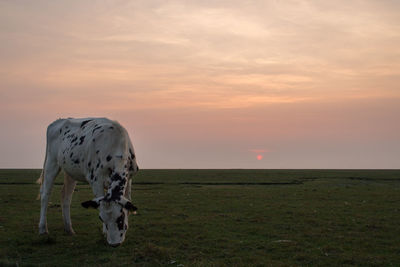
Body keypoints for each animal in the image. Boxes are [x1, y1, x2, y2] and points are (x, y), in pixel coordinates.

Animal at [36, 118, 139, 248]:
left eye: (120, 218)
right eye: (101, 219)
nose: (114, 244)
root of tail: (58, 121)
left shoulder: (129, 178)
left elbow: (128, 199)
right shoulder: (96, 180)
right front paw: (104, 232)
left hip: (71, 171)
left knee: (66, 196)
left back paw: (69, 229)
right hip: (51, 162)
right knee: (45, 194)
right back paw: (43, 228)